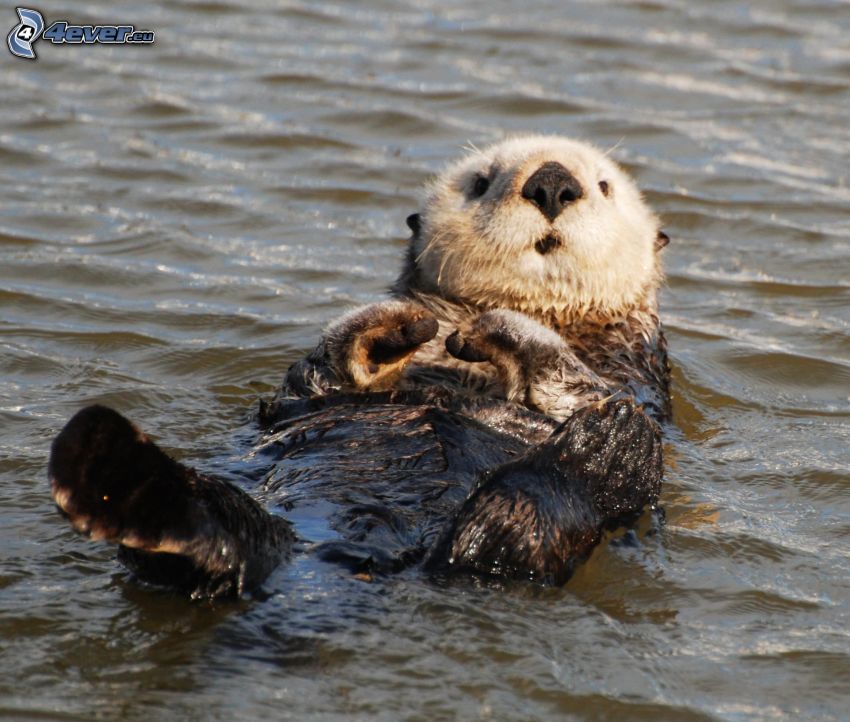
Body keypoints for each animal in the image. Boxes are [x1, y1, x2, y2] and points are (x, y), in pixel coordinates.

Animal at [48, 134, 668, 596]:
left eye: (604, 187)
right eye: (480, 182)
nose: (552, 183)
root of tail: (370, 552)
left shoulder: (635, 374)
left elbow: (580, 384)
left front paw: (497, 327)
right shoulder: (310, 385)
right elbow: (324, 368)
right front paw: (402, 324)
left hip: (563, 513)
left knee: (515, 533)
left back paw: (601, 446)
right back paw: (120, 474)